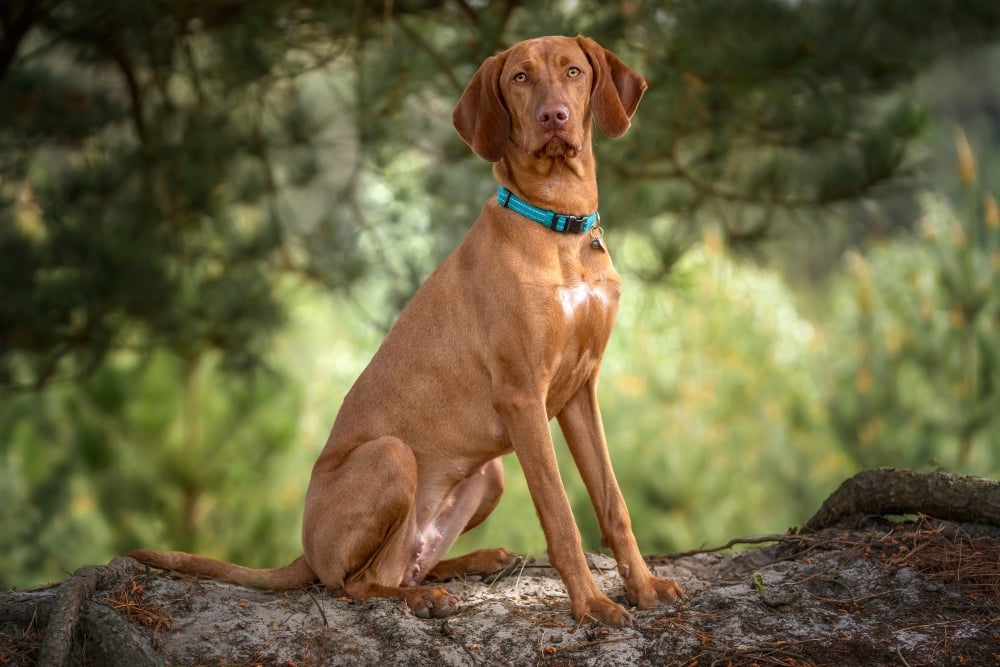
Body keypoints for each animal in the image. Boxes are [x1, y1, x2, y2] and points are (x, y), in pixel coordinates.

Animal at [129, 35, 684, 632]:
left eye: (574, 71)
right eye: (520, 78)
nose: (553, 116)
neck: (559, 225)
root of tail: (305, 551)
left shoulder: (580, 389)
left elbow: (613, 502)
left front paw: (645, 588)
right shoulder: (522, 396)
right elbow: (560, 513)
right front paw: (592, 604)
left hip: (488, 475)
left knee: (407, 566)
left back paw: (473, 563)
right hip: (393, 455)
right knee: (354, 584)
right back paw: (422, 599)